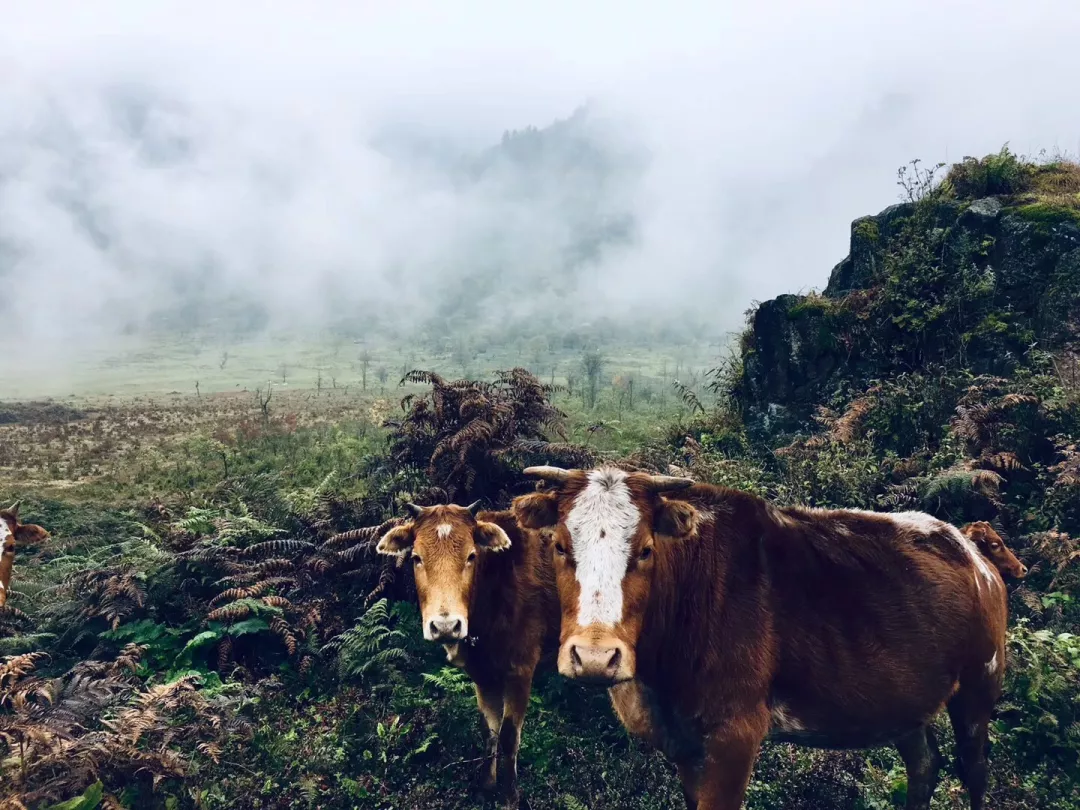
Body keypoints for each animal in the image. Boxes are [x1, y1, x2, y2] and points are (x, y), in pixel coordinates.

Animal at [375, 501, 557, 810]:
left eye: (471, 556)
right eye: (416, 558)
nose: (446, 626)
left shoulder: (521, 670)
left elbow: (509, 736)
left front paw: (509, 795)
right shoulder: (481, 674)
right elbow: (489, 730)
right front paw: (486, 786)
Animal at [509, 468, 1006, 810]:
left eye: (646, 549)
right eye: (559, 545)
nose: (595, 656)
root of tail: (971, 549)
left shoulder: (737, 732)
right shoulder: (685, 744)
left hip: (981, 682)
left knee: (975, 769)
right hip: (905, 703)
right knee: (924, 764)